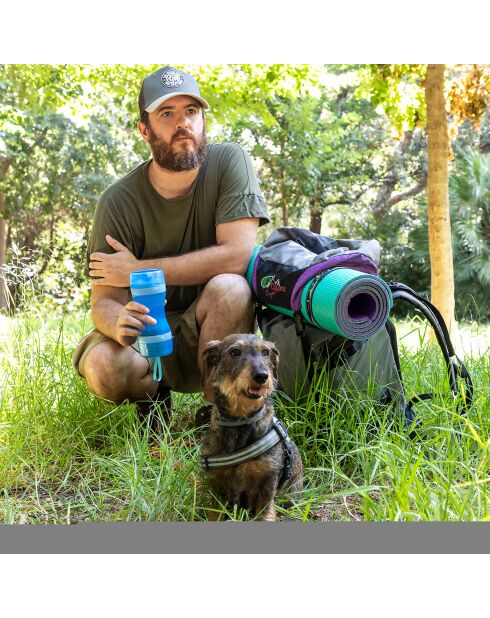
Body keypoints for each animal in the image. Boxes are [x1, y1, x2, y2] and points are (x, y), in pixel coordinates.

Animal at [199, 332, 302, 520]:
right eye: (235, 352)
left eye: (266, 352)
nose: (262, 376)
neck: (241, 421)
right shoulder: (217, 484)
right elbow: (215, 513)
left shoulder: (267, 481)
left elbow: (265, 513)